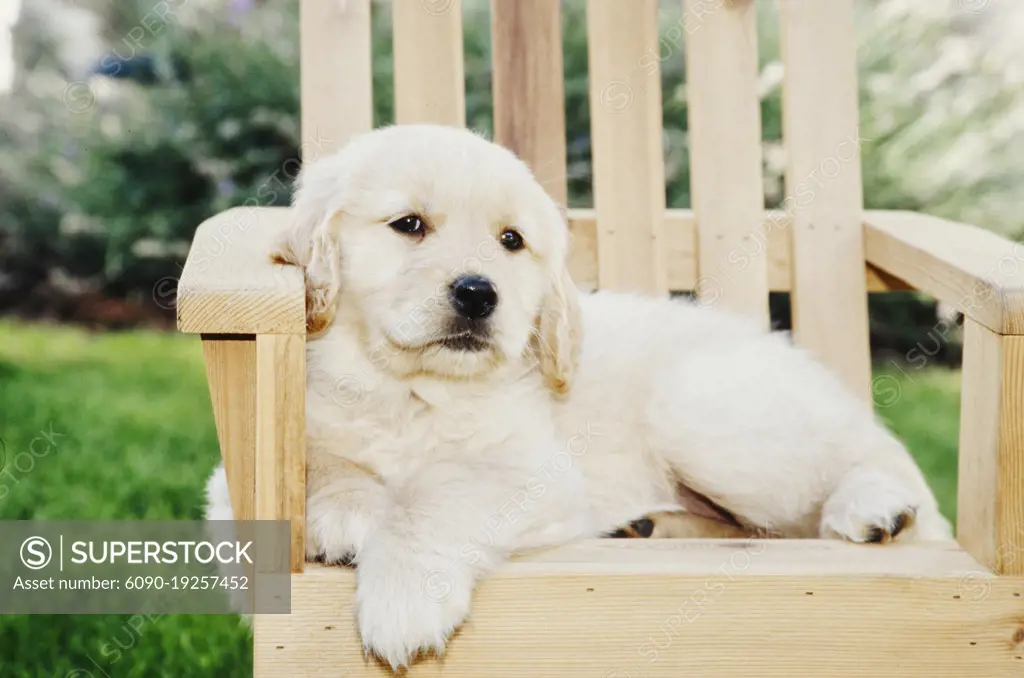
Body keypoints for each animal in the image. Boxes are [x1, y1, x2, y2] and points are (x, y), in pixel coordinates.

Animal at [201, 123, 950, 667]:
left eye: (511, 241)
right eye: (409, 225)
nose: (479, 293)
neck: (411, 390)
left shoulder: (529, 472)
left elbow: (439, 499)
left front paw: (404, 594)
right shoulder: (229, 488)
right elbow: (317, 462)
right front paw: (347, 508)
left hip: (703, 414)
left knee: (843, 475)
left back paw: (875, 509)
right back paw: (649, 526)